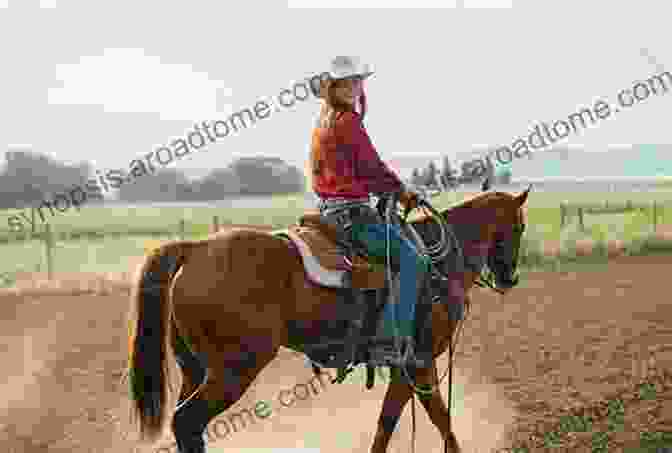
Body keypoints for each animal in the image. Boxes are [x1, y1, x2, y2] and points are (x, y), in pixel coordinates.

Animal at [123, 185, 528, 452]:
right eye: (520, 226)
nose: (510, 277)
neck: (438, 263)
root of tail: (195, 249)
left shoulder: (411, 367)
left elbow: (415, 419)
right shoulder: (417, 362)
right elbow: (416, 420)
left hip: (194, 368)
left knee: (184, 425)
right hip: (234, 370)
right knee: (188, 421)